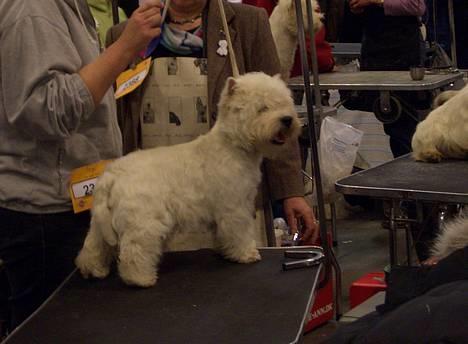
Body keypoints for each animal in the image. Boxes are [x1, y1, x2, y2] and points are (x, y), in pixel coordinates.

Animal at [73, 72, 300, 288]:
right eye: (262, 108)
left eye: (284, 103)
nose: (287, 119)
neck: (234, 145)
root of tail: (112, 173)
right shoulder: (235, 207)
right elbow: (239, 231)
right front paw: (246, 254)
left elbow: (222, 233)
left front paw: (224, 250)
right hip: (144, 221)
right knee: (134, 250)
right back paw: (140, 279)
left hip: (102, 220)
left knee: (94, 244)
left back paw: (93, 270)